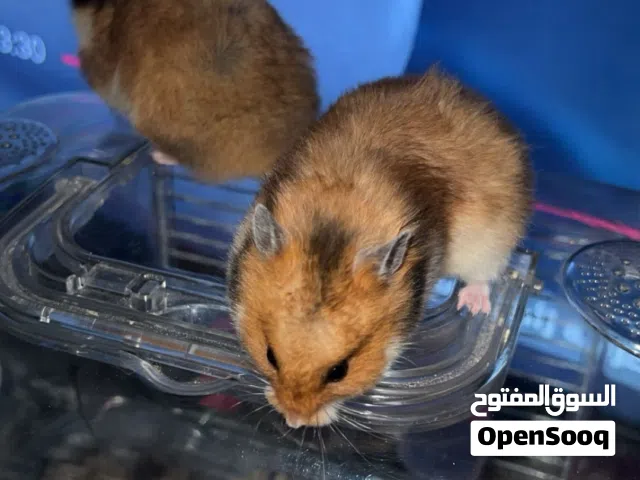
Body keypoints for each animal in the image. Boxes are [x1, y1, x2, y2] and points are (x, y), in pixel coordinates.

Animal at [227, 67, 533, 428]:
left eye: (339, 371)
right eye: (270, 355)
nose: (293, 421)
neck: (337, 218)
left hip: (492, 240)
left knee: (484, 277)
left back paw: (475, 306)